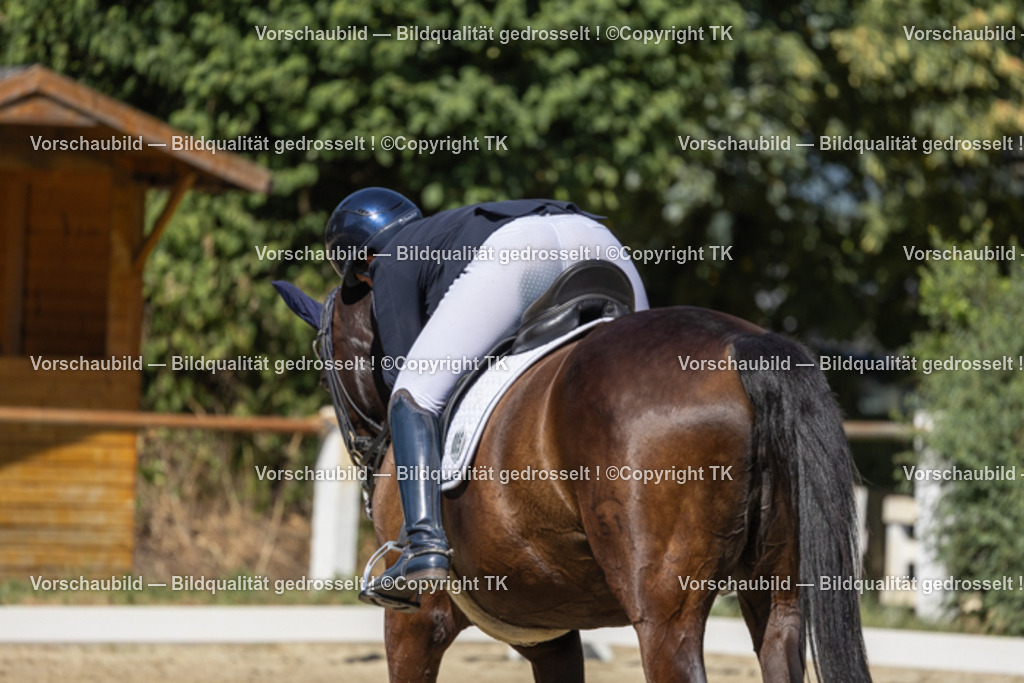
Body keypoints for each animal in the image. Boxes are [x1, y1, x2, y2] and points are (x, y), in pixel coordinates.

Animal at [303, 287, 871, 682]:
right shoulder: (546, 633)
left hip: (666, 616)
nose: (366, 450)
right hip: (779, 600)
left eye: (323, 354)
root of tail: (741, 345)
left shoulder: (417, 622)